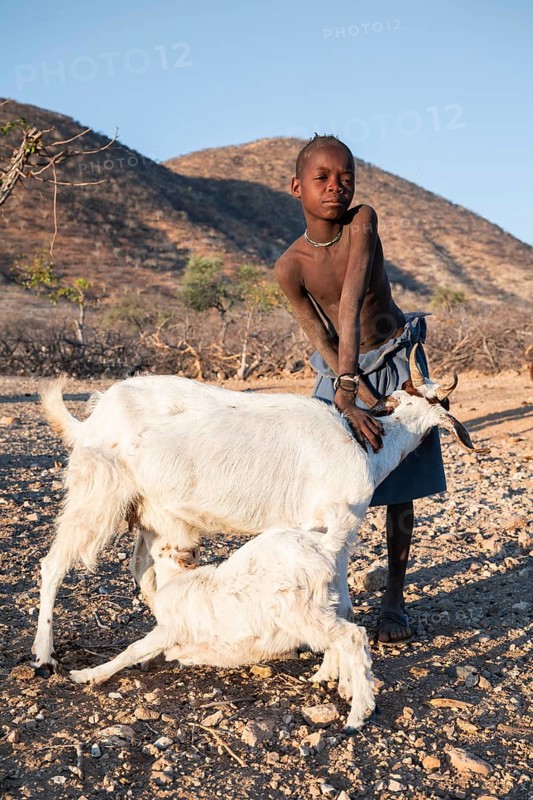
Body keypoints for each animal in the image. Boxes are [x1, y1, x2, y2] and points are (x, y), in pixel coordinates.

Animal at [32, 345, 481, 672]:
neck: (365, 446)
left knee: (142, 568)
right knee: (53, 564)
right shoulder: (329, 524)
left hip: (154, 512)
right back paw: (43, 656)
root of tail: (93, 418)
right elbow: (339, 590)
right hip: (98, 494)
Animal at [70, 506, 375, 732]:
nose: (136, 521)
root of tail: (324, 546)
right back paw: (328, 678)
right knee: (341, 637)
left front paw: (86, 675)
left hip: (301, 613)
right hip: (320, 608)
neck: (177, 577)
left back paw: (357, 714)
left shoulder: (169, 629)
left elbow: (131, 651)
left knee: (353, 636)